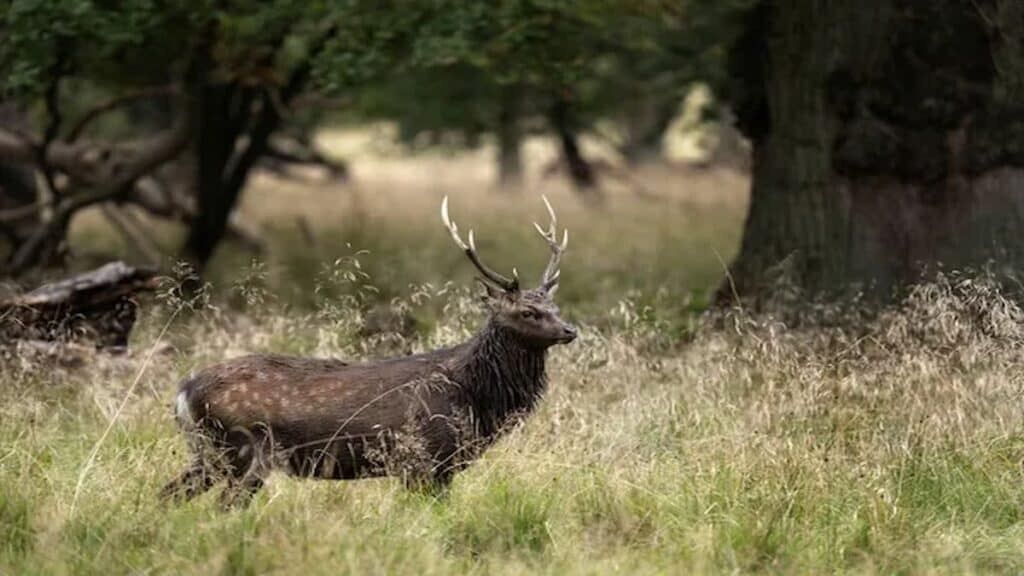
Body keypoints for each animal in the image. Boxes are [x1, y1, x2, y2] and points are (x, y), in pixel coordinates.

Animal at [161, 196, 577, 508]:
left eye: (554, 306)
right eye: (527, 312)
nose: (570, 330)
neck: (475, 398)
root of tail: (184, 392)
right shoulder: (424, 458)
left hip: (210, 454)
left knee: (168, 493)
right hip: (244, 449)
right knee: (223, 505)